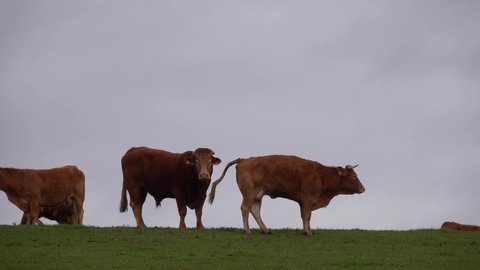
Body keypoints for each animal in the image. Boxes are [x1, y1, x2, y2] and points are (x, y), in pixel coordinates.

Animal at [208, 155, 366, 235]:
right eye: (353, 177)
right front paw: (308, 232)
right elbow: (307, 216)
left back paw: (265, 230)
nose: (363, 189)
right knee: (245, 208)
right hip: (249, 193)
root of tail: (244, 159)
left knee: (255, 210)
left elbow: (303, 216)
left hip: (257, 195)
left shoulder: (303, 202)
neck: (322, 176)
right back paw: (247, 231)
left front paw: (305, 230)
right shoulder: (307, 199)